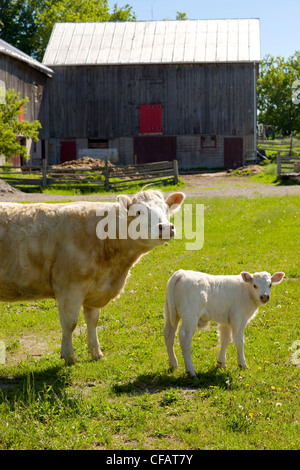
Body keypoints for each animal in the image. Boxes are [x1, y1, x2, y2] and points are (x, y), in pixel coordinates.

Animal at [0, 190, 184, 364]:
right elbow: (70, 323)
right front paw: (68, 356)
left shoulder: (95, 290)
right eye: (139, 211)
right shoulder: (69, 287)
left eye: (166, 209)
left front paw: (96, 353)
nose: (166, 227)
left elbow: (93, 321)